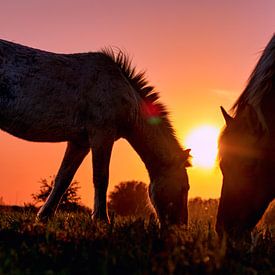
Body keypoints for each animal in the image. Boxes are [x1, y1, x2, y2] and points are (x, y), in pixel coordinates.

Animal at [0, 39, 190, 226]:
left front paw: (44, 216)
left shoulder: (79, 143)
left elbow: (63, 179)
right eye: (185, 187)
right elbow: (101, 177)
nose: (181, 226)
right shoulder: (102, 136)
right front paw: (101, 219)